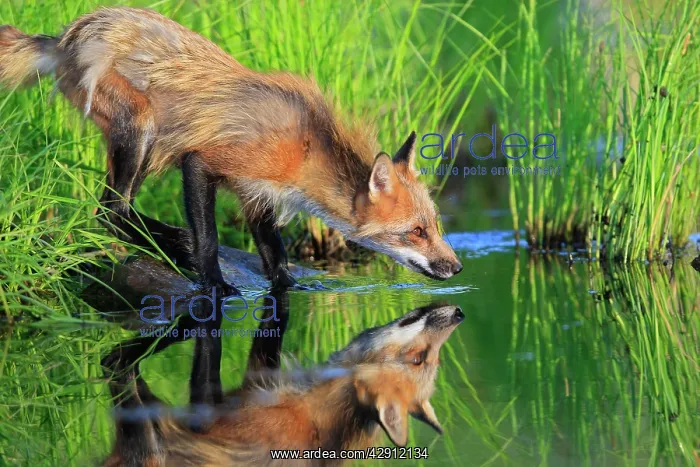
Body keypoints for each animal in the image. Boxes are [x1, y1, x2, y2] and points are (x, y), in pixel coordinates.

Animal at [0, 7, 463, 295]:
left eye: (435, 226)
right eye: (416, 232)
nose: (457, 268)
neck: (306, 149)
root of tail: (65, 36)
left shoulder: (257, 196)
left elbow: (275, 258)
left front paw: (292, 287)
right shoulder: (204, 163)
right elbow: (209, 238)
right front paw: (215, 282)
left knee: (114, 210)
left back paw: (170, 241)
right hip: (143, 131)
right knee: (111, 212)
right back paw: (175, 246)